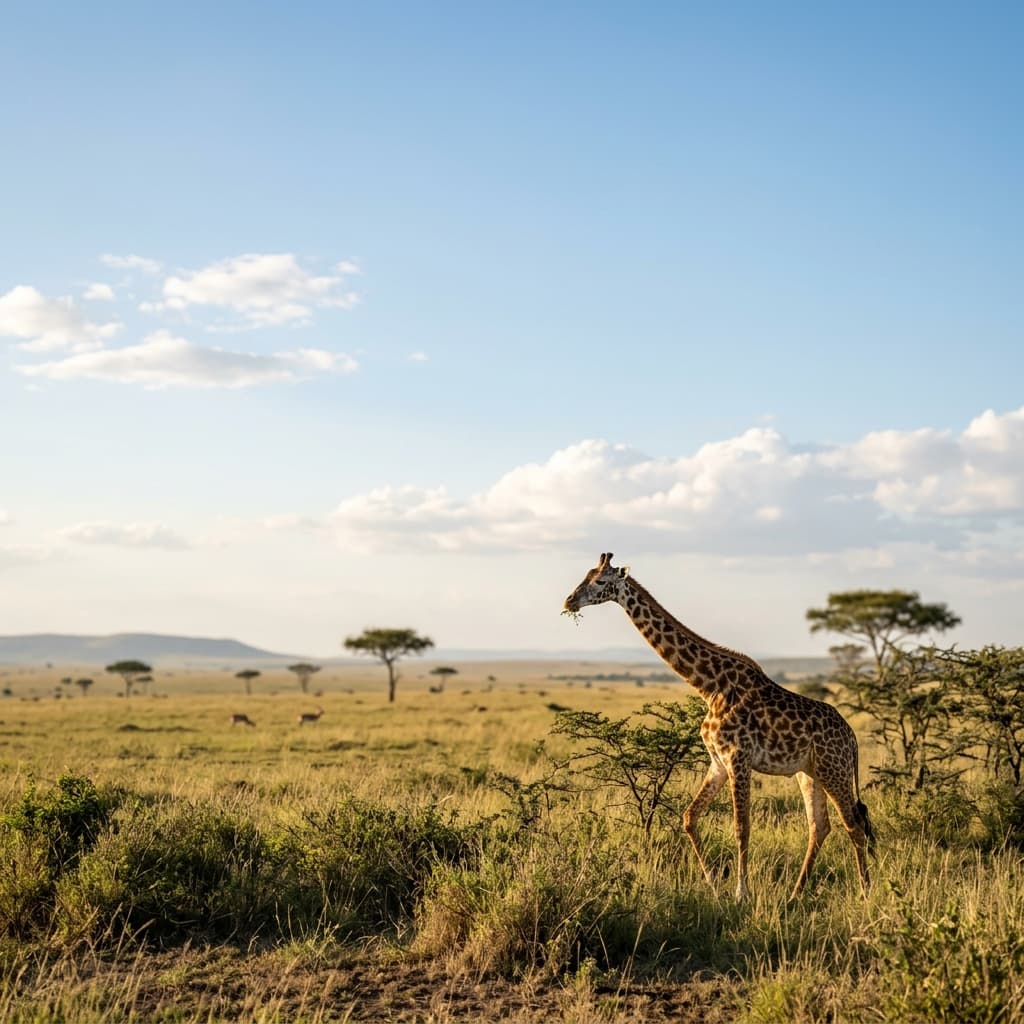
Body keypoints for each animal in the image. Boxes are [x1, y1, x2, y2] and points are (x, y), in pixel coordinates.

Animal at [563, 552, 872, 901]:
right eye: (585, 575)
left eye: (601, 581)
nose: (569, 601)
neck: (709, 686)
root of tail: (852, 738)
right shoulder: (718, 761)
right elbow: (689, 817)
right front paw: (713, 884)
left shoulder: (739, 758)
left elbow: (741, 827)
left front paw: (741, 893)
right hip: (810, 772)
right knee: (820, 826)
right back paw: (795, 894)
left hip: (834, 770)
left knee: (854, 824)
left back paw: (865, 892)